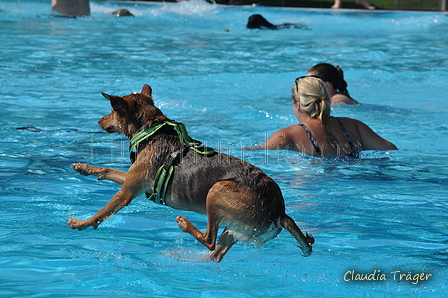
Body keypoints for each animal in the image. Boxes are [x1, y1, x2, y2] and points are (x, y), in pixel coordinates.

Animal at [68, 84, 314, 264]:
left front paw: (81, 223)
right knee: (215, 254)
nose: (98, 121)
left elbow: (101, 212)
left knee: (210, 239)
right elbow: (108, 170)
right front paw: (84, 168)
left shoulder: (127, 192)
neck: (150, 129)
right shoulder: (135, 182)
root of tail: (280, 211)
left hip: (217, 191)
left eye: (111, 111)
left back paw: (184, 224)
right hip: (234, 225)